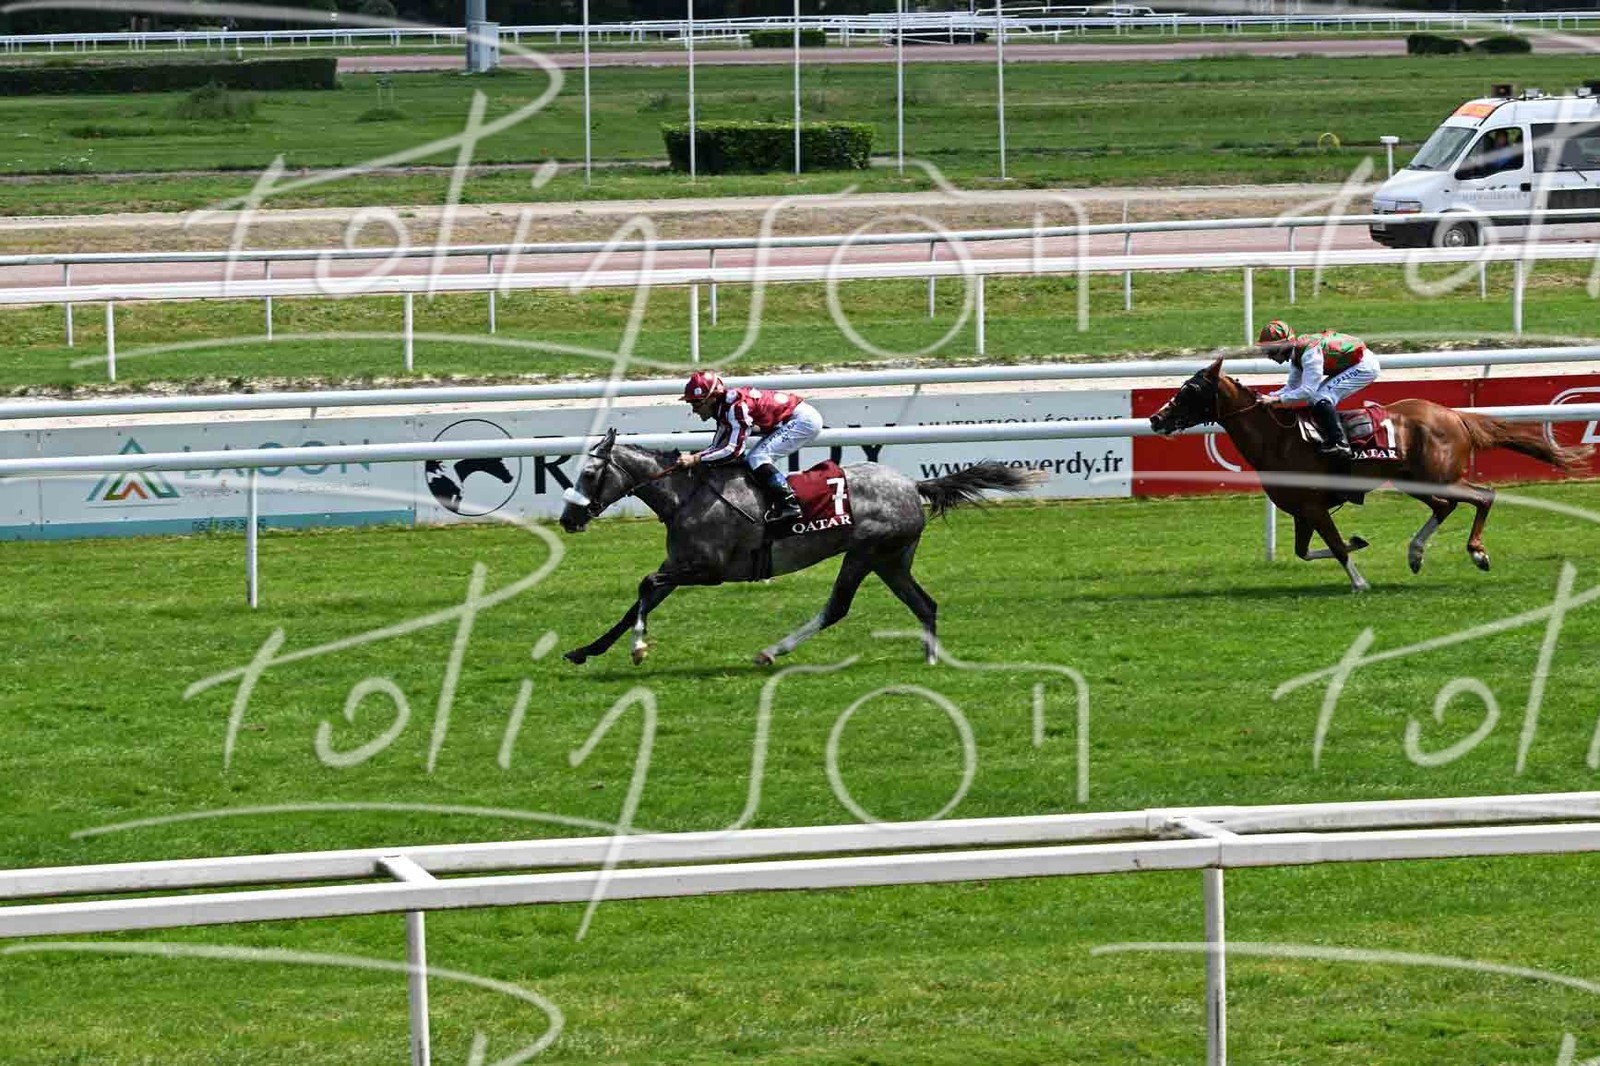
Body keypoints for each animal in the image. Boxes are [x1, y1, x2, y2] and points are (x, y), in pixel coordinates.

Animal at [557, 429, 1042, 666]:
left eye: (589, 474)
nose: (567, 519)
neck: (685, 496)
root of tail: (911, 484)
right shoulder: (679, 563)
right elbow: (637, 601)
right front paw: (585, 651)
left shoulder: (708, 570)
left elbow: (644, 584)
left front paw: (638, 649)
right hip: (892, 559)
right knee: (925, 604)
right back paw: (930, 659)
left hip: (864, 552)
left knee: (838, 608)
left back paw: (771, 651)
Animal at [1148, 358, 1592, 591]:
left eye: (1189, 391)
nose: (1155, 419)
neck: (1278, 438)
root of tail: (1455, 416)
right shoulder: (1302, 509)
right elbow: (1306, 550)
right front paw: (1359, 541)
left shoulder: (1313, 505)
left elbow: (1335, 548)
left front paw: (1359, 582)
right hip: (1413, 479)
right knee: (1444, 507)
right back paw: (1415, 553)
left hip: (1439, 476)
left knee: (1484, 495)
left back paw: (1477, 552)